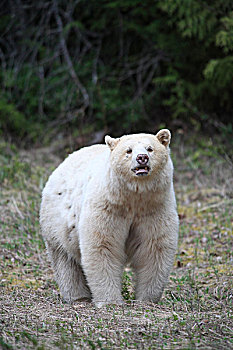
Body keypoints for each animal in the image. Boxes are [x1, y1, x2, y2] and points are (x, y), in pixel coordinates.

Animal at [39, 129, 178, 306]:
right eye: (128, 150)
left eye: (150, 148)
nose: (142, 158)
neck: (133, 198)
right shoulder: (108, 207)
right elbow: (103, 246)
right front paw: (110, 301)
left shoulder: (154, 209)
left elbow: (153, 248)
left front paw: (146, 300)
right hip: (56, 225)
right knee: (65, 262)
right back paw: (79, 297)